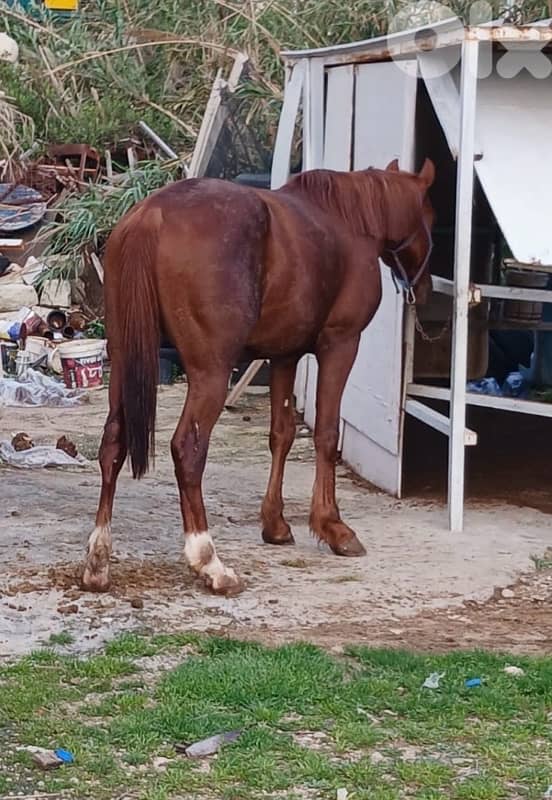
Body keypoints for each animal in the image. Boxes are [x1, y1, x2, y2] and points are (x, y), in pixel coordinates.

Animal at [82, 158, 435, 596]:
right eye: (431, 216)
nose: (427, 288)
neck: (349, 222)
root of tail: (152, 215)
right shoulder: (340, 345)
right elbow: (326, 433)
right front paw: (333, 527)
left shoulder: (284, 356)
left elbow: (281, 434)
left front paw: (276, 524)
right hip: (211, 373)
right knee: (188, 450)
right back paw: (210, 563)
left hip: (123, 361)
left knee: (112, 445)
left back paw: (98, 562)